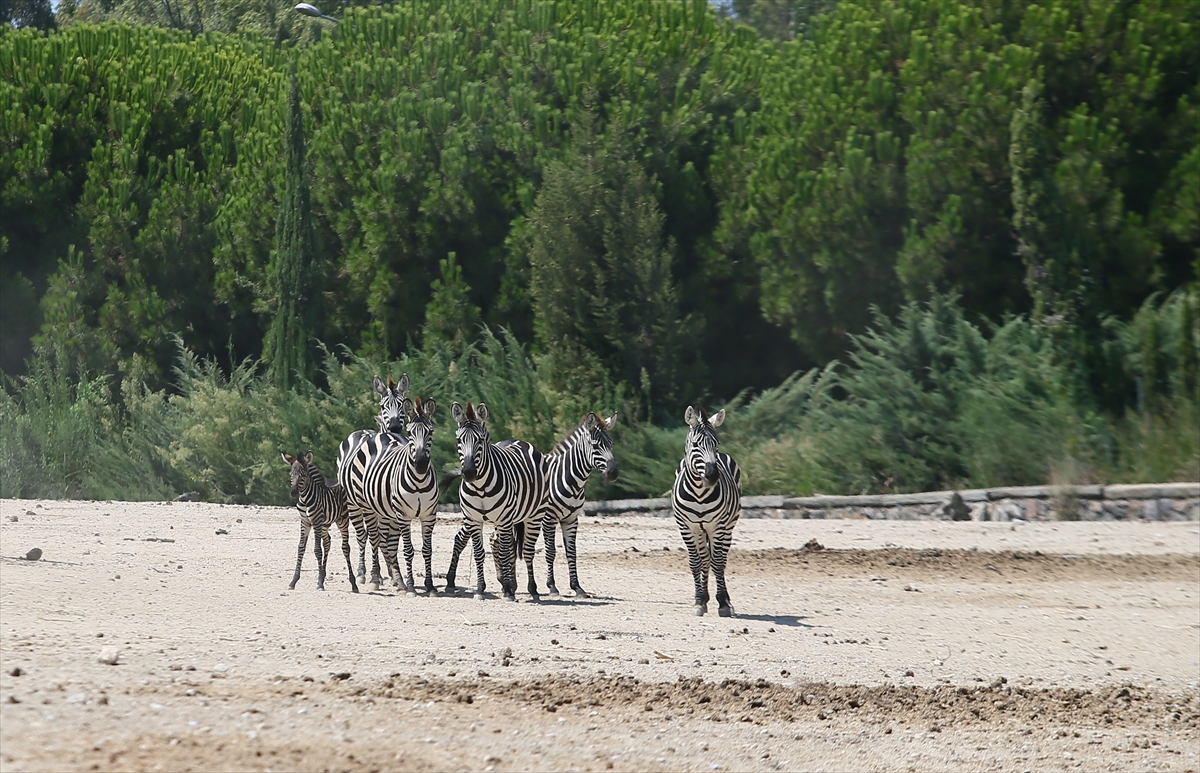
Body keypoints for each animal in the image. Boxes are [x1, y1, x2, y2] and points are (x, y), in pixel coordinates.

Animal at [280, 446, 355, 592]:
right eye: (291, 475)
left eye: (303, 475)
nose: (293, 493)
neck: (305, 500)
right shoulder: (305, 522)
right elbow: (301, 548)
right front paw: (294, 581)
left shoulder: (316, 521)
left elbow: (317, 550)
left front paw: (319, 582)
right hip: (325, 525)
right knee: (327, 542)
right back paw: (324, 574)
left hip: (342, 520)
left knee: (345, 547)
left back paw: (353, 583)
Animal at [340, 372, 410, 585]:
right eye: (383, 405)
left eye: (402, 404)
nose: (394, 426)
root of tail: (362, 430)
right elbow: (375, 538)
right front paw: (375, 574)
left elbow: (387, 539)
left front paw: (392, 572)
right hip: (353, 504)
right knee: (363, 536)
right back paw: (363, 572)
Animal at [446, 405, 549, 604]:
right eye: (459, 440)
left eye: (480, 440)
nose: (468, 473)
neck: (480, 488)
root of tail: (518, 440)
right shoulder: (473, 520)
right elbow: (479, 553)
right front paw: (480, 589)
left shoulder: (504, 519)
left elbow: (504, 551)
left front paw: (508, 591)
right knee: (508, 545)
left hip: (534, 515)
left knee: (527, 550)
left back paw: (531, 589)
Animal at [676, 405, 739, 614]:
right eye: (696, 444)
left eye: (716, 443)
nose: (712, 476)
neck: (699, 493)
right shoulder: (686, 527)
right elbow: (696, 562)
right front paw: (698, 600)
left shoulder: (717, 526)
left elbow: (717, 563)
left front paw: (723, 603)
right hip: (700, 530)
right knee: (704, 559)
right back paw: (704, 597)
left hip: (728, 527)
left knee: (720, 559)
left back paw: (724, 599)